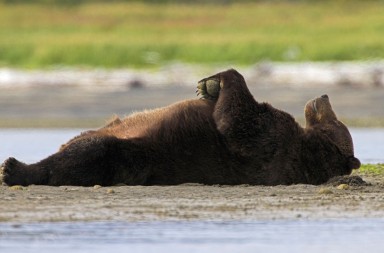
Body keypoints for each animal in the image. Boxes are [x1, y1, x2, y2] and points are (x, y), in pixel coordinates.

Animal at [0, 69, 360, 186]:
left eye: (336, 119)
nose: (324, 95)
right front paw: (208, 87)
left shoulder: (271, 145)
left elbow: (240, 121)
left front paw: (214, 82)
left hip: (136, 155)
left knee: (85, 156)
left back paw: (14, 168)